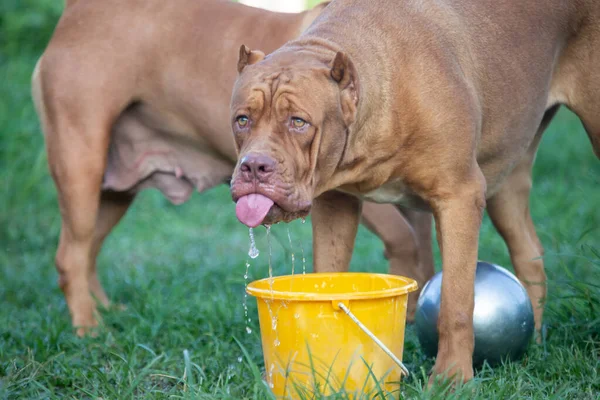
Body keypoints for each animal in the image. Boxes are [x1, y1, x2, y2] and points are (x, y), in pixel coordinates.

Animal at [30, 0, 434, 338]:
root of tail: (76, 11)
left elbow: (424, 252)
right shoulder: (345, 189)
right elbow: (404, 242)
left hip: (114, 192)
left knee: (88, 251)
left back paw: (104, 309)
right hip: (81, 165)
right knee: (71, 255)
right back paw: (89, 328)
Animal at [229, 0, 600, 382]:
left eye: (298, 122)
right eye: (242, 120)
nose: (254, 167)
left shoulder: (459, 196)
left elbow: (456, 301)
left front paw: (452, 378)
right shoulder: (335, 205)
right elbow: (328, 272)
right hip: (506, 177)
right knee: (528, 253)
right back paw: (534, 345)